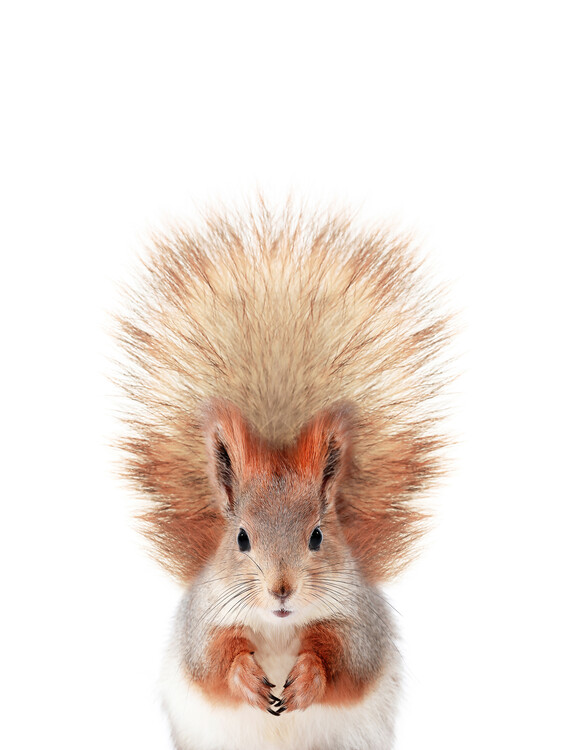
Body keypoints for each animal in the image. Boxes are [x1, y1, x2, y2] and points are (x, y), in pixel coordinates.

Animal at [115, 199, 450, 750]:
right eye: (241, 538)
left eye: (317, 536)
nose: (281, 589)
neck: (276, 627)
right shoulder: (202, 622)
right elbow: (212, 662)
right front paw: (246, 678)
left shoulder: (359, 623)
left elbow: (345, 662)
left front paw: (309, 676)